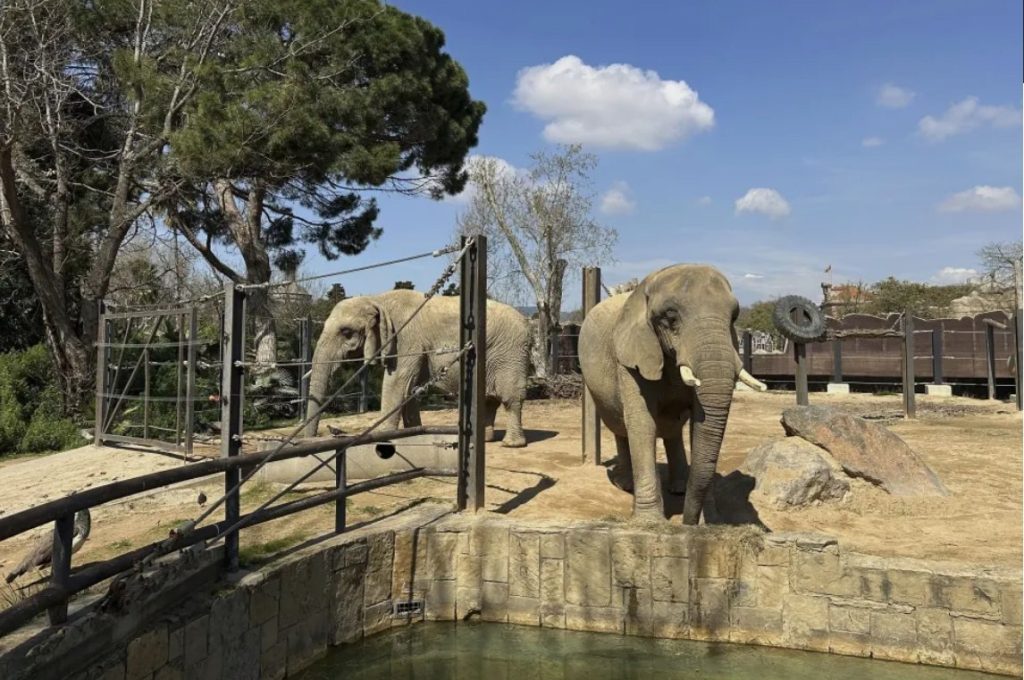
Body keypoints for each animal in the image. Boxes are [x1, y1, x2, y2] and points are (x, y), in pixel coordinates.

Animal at [303, 289, 530, 447]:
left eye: (346, 332)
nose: (312, 439)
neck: (377, 299)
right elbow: (409, 388)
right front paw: (413, 433)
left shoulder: (406, 339)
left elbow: (397, 383)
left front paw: (382, 438)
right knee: (488, 399)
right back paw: (486, 439)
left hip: (509, 354)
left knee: (510, 398)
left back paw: (511, 444)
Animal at [578, 264, 767, 525]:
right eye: (670, 318)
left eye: (734, 317)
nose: (687, 523)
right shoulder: (629, 358)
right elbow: (642, 423)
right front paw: (650, 523)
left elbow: (700, 424)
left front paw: (710, 522)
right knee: (619, 426)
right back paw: (626, 485)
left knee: (672, 430)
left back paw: (678, 488)